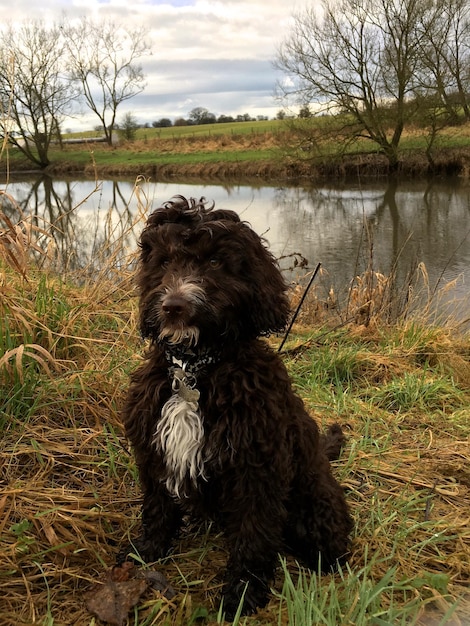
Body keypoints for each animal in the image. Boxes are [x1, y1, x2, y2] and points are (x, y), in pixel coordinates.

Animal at [121, 194, 352, 616]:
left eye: (215, 262)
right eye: (165, 261)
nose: (174, 306)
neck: (197, 370)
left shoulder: (255, 468)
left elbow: (253, 533)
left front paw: (243, 591)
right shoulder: (153, 450)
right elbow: (158, 507)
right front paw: (147, 550)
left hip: (313, 501)